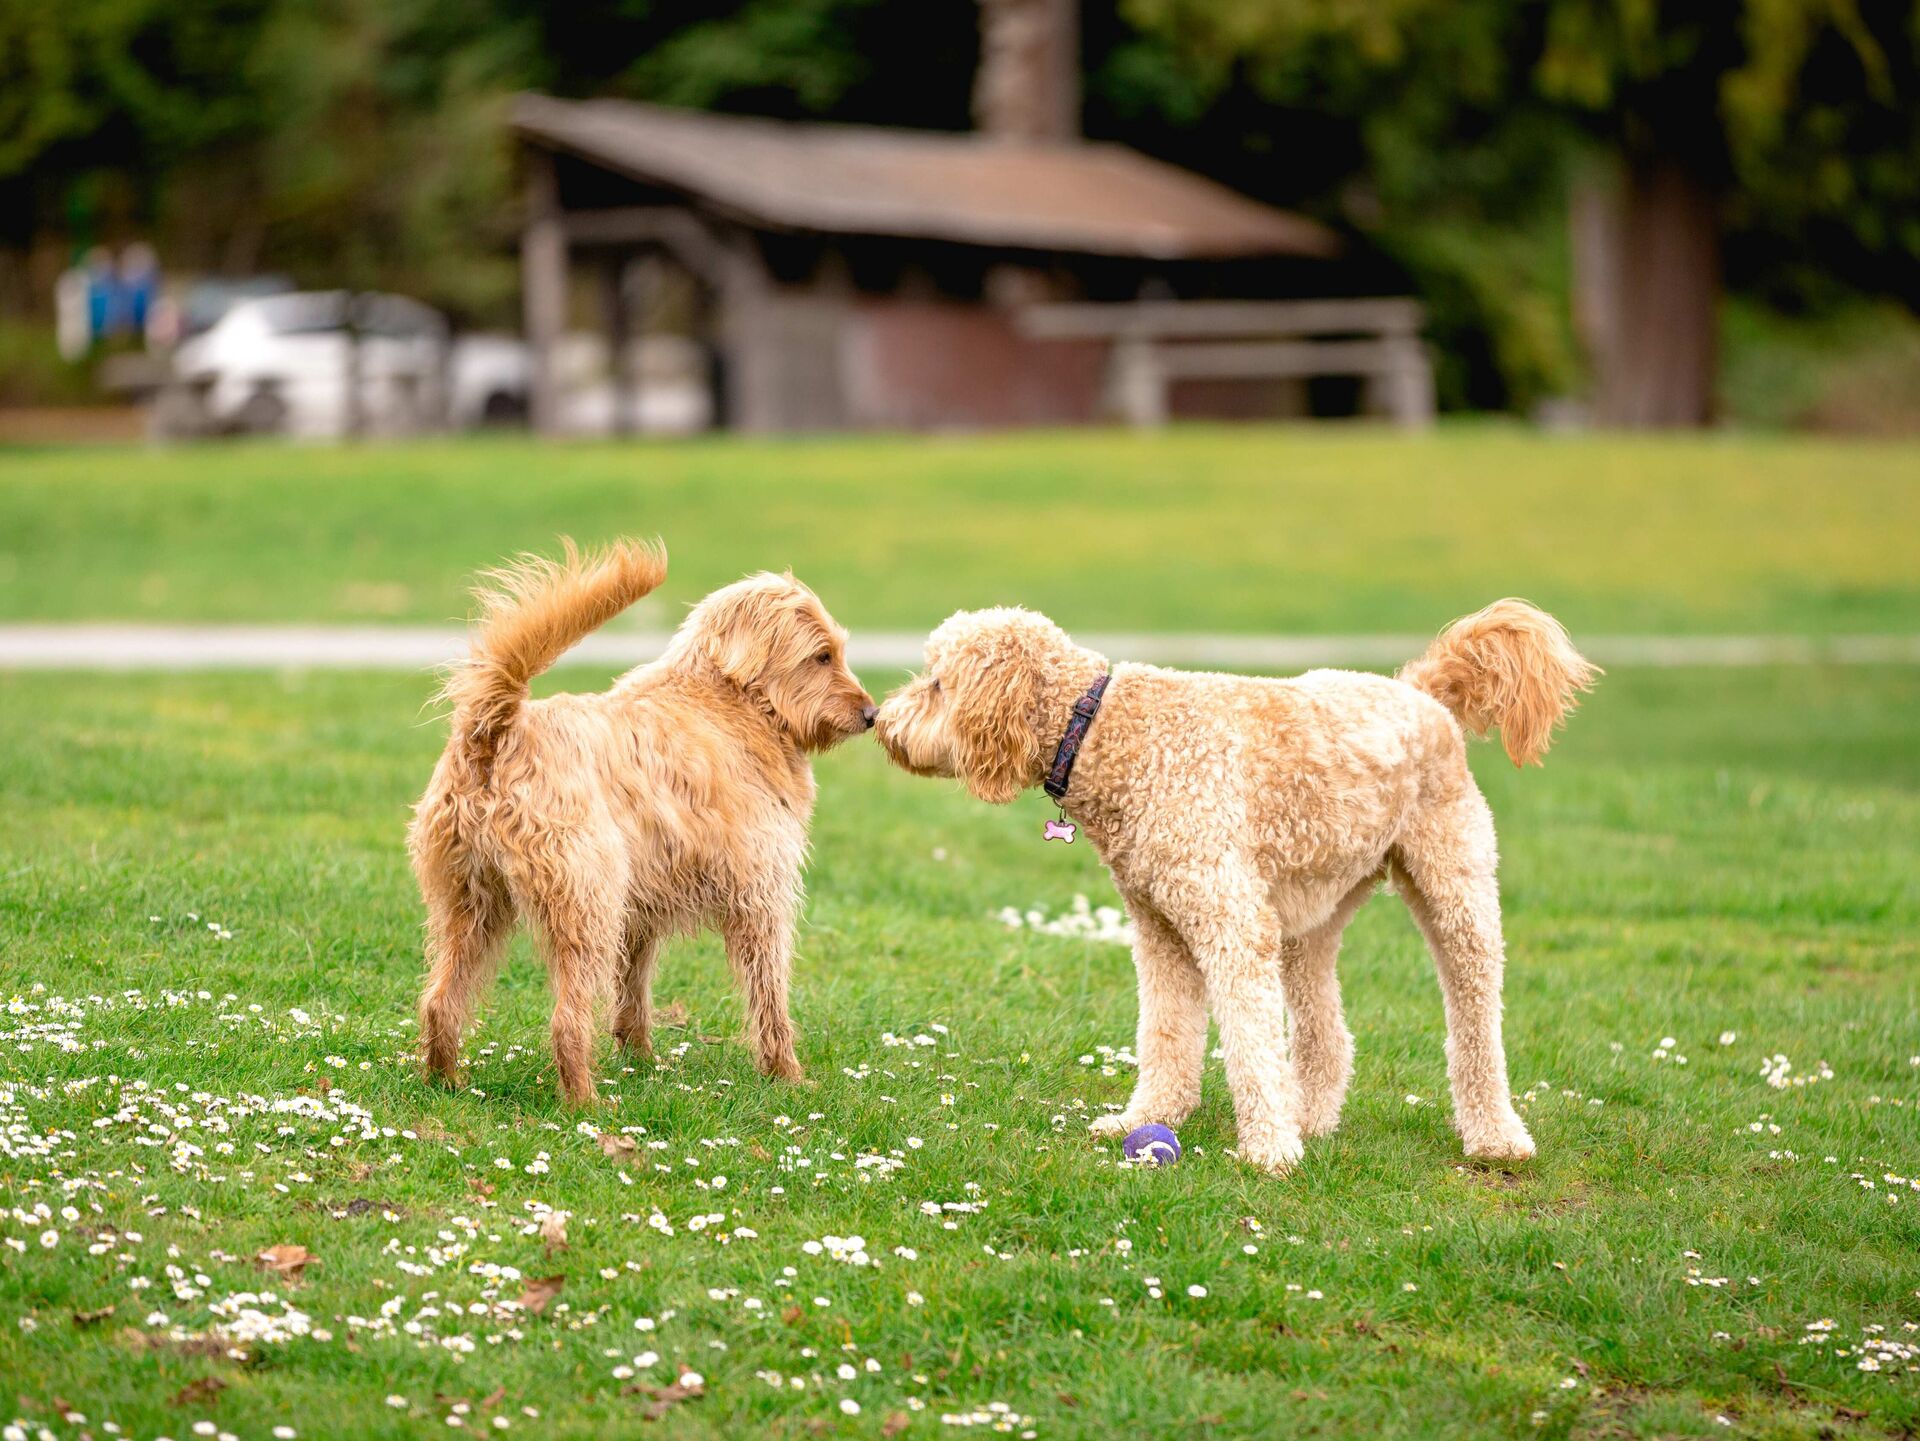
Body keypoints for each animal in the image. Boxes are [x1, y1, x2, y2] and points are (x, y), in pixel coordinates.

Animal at [416, 541, 879, 1105]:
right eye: (822, 656)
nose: (873, 715)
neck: (732, 702)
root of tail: (494, 733)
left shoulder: (642, 911)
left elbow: (633, 992)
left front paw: (641, 1060)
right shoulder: (761, 896)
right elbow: (770, 997)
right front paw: (787, 1075)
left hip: (471, 905)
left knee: (440, 1001)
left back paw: (447, 1083)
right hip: (586, 905)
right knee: (566, 1021)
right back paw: (586, 1102)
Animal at [879, 598, 1597, 1174]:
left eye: (938, 683)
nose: (882, 722)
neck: (1104, 729)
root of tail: (1422, 691)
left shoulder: (1230, 922)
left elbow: (1249, 1044)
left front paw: (1268, 1153)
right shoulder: (1161, 930)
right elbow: (1167, 1034)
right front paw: (1147, 1117)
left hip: (1454, 887)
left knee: (1476, 1020)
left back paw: (1495, 1136)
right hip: (1313, 914)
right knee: (1326, 1032)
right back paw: (1310, 1117)